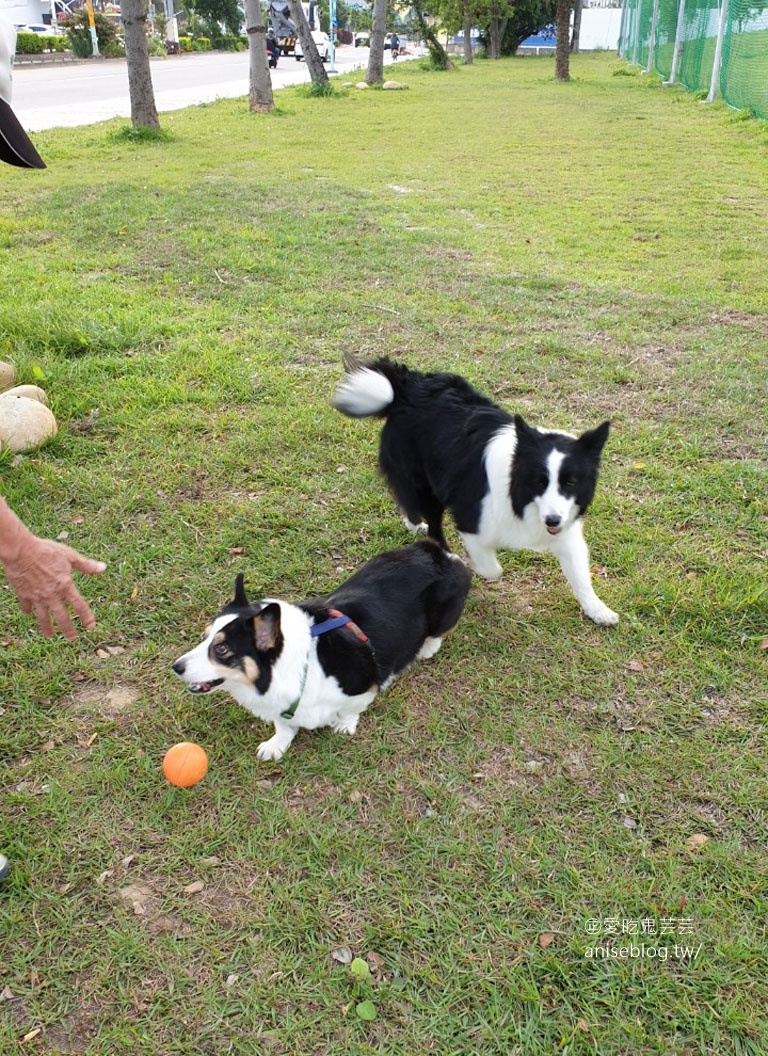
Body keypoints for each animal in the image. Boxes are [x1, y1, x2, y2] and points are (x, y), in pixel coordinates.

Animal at [173, 544, 471, 760]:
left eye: (221, 648)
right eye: (204, 637)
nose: (175, 667)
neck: (300, 668)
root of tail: (438, 553)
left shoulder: (365, 687)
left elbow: (351, 709)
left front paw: (344, 725)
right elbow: (283, 726)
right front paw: (276, 745)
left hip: (442, 616)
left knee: (436, 634)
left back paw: (426, 649)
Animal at [335, 359, 616, 629]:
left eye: (570, 483)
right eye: (539, 482)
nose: (552, 520)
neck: (519, 497)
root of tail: (405, 387)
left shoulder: (567, 531)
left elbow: (580, 576)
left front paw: (598, 610)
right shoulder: (472, 520)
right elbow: (491, 568)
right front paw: (470, 567)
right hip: (427, 483)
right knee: (425, 515)